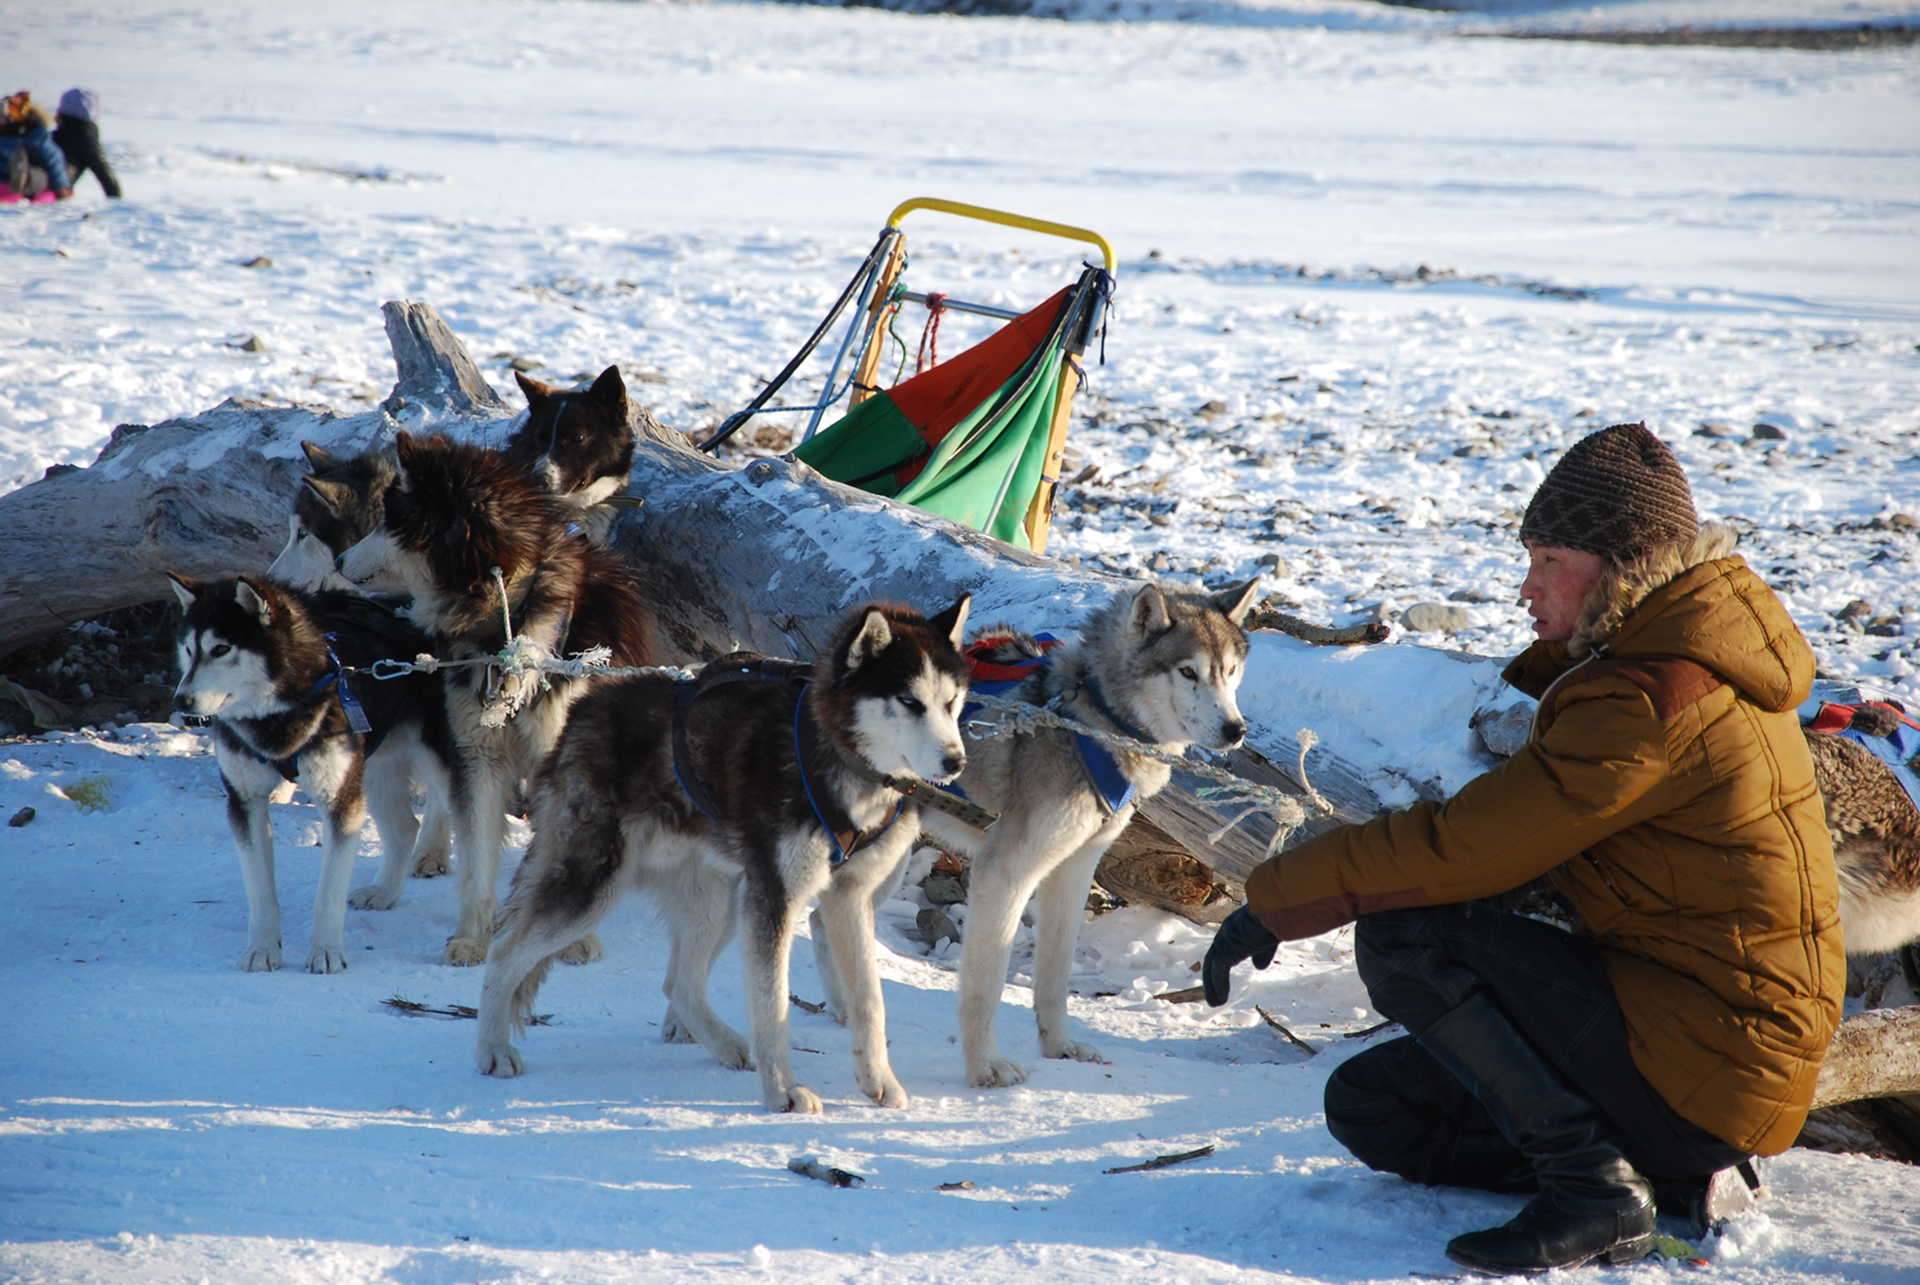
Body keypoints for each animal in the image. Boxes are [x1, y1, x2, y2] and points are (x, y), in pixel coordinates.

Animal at [165, 572, 456, 971]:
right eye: (189, 650)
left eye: (221, 649)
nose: (181, 701)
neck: (278, 715)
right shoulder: (245, 801)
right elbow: (261, 892)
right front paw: (262, 949)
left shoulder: (340, 803)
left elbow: (328, 894)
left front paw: (326, 952)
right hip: (375, 768)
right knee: (404, 828)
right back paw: (385, 892)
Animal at [334, 430, 656, 960]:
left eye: (389, 519)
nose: (339, 559)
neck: (510, 628)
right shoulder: (477, 757)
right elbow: (477, 854)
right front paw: (472, 935)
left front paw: (571, 937)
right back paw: (424, 856)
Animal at [472, 595, 967, 1106]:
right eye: (909, 702)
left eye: (951, 703)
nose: (956, 761)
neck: (839, 759)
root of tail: (586, 708)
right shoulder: (776, 900)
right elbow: (772, 1006)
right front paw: (783, 1092)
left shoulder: (849, 898)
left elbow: (870, 1000)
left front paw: (878, 1082)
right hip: (594, 887)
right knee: (506, 952)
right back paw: (493, 1049)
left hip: (721, 903)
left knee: (680, 985)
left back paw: (727, 1043)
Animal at [913, 576, 1259, 1091]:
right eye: (1188, 672)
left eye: (1230, 671)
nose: (1235, 729)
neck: (1092, 721)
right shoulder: (1005, 871)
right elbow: (985, 985)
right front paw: (985, 1068)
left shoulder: (1073, 869)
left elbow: (1054, 977)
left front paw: (1059, 1046)